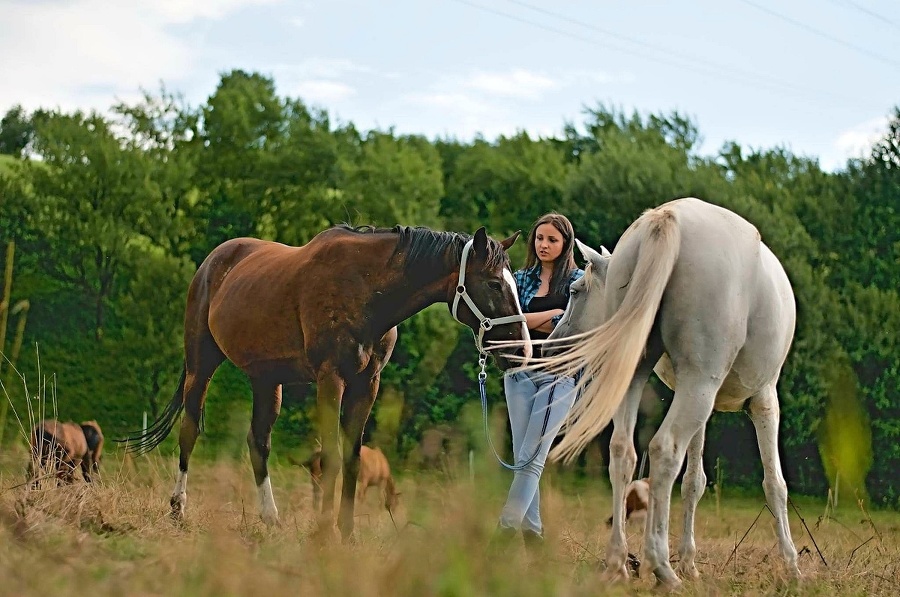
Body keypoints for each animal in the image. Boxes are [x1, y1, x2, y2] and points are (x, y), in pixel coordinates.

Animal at [118, 224, 528, 540]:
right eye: (494, 283)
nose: (521, 350)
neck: (366, 290)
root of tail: (212, 262)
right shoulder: (331, 379)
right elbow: (330, 456)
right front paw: (323, 531)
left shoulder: (367, 384)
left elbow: (352, 457)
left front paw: (346, 533)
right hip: (200, 364)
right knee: (189, 430)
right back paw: (178, 509)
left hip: (267, 380)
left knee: (258, 442)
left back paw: (271, 518)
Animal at [536, 199, 800, 588]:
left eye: (575, 290)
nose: (550, 347)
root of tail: (667, 218)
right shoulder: (762, 400)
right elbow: (774, 484)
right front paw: (793, 566)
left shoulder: (703, 406)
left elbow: (693, 482)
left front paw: (688, 561)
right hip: (698, 387)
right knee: (664, 450)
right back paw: (662, 568)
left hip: (645, 377)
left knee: (623, 452)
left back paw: (619, 562)